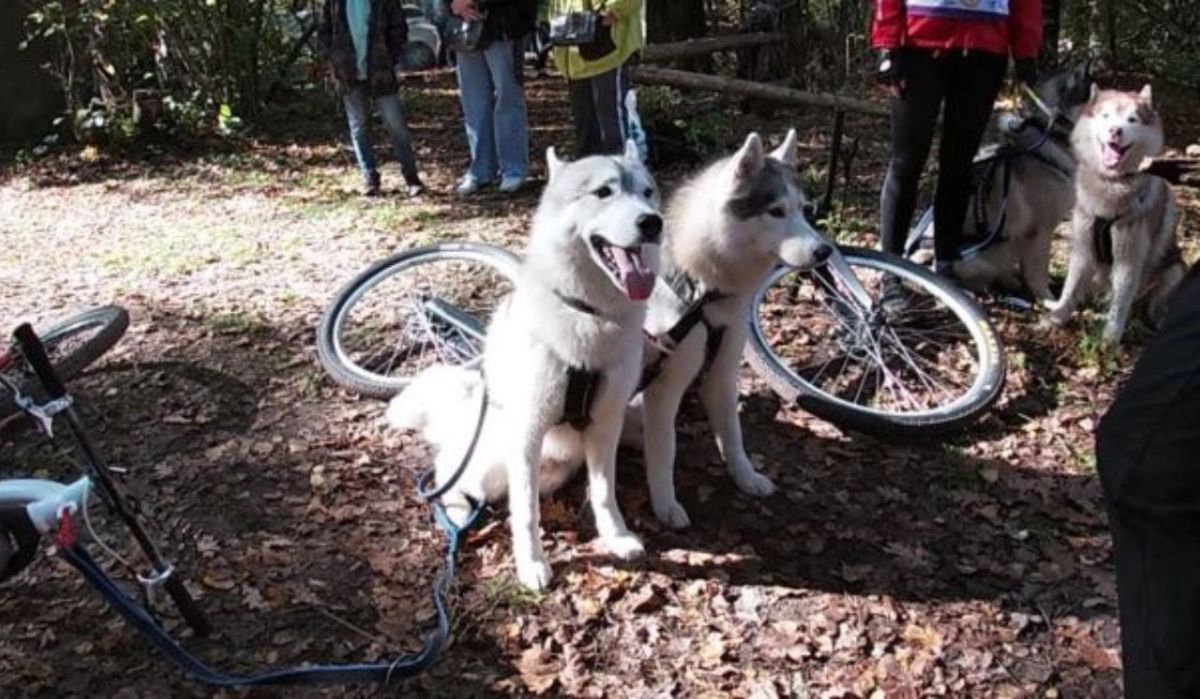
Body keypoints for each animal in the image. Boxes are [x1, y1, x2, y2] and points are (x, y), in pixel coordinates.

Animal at [388, 142, 662, 590]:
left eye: (648, 192)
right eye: (604, 192)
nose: (653, 222)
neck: (586, 311)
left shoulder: (606, 423)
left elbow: (604, 492)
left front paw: (616, 537)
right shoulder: (528, 433)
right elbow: (527, 511)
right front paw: (531, 562)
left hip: (559, 464)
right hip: (491, 460)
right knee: (447, 471)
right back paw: (457, 511)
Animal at [633, 131, 830, 528]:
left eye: (803, 209)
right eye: (776, 211)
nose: (824, 251)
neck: (702, 288)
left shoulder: (722, 374)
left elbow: (733, 434)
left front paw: (746, 477)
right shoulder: (665, 386)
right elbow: (665, 451)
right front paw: (666, 504)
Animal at [1046, 84, 1185, 345]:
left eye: (1132, 119)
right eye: (1105, 116)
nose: (1115, 130)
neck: (1112, 185)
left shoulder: (1128, 259)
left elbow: (1120, 304)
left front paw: (1109, 340)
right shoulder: (1082, 249)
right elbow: (1071, 287)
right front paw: (1057, 317)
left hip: (1174, 272)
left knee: (1148, 308)